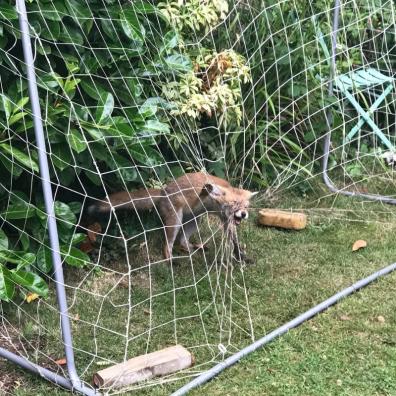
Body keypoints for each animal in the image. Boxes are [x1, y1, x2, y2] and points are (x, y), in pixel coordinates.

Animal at [86, 172, 256, 262]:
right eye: (234, 203)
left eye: (246, 206)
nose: (244, 214)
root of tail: (163, 192)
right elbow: (207, 189)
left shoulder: (227, 221)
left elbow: (235, 242)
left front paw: (241, 257)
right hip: (175, 222)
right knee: (167, 245)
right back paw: (171, 262)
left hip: (195, 221)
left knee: (182, 241)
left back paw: (193, 248)